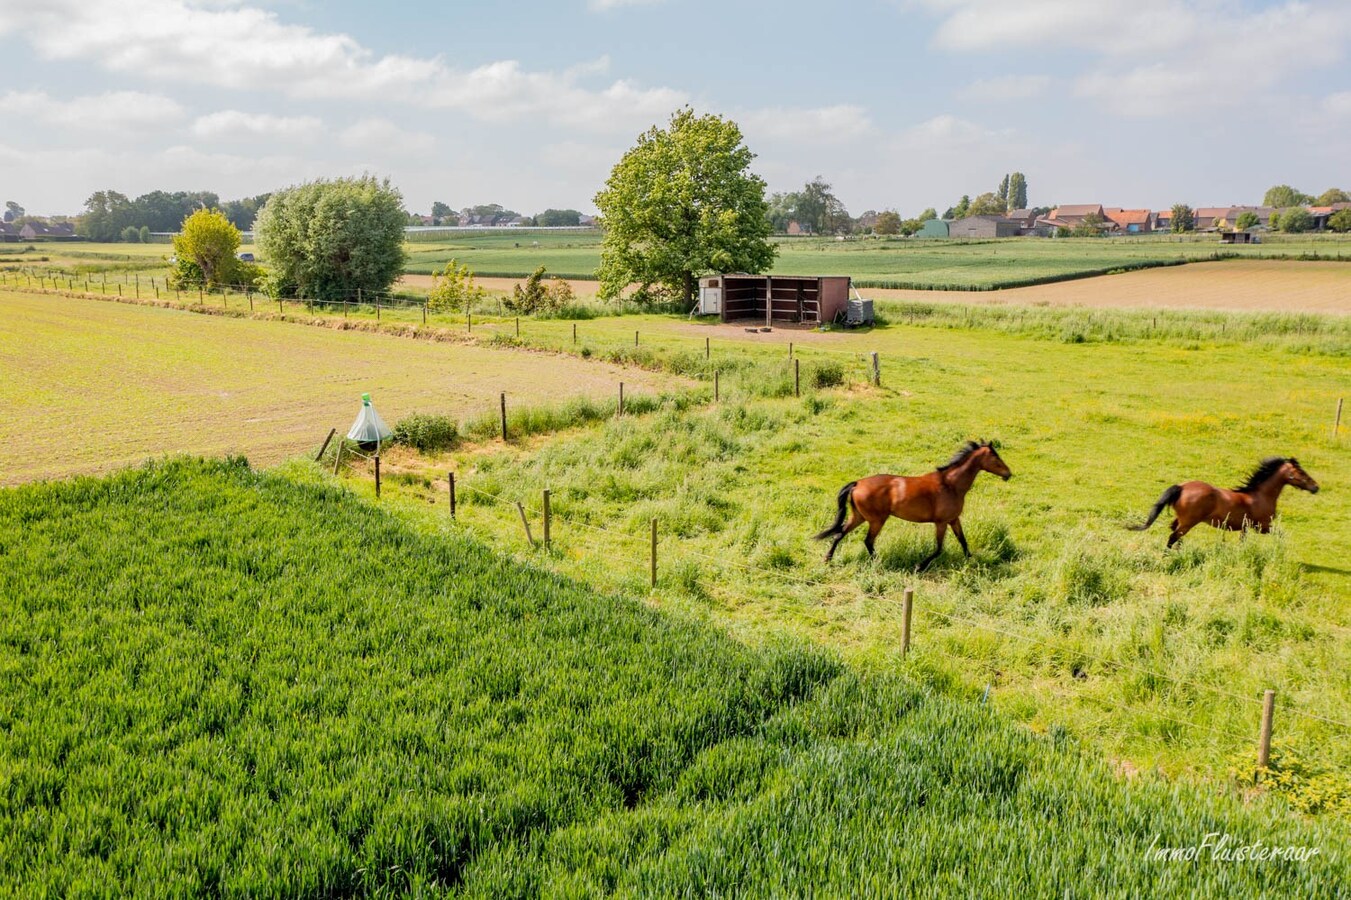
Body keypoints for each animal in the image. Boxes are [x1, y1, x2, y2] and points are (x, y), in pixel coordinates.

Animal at [810, 440, 1015, 567]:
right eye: (996, 458)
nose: (1008, 474)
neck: (951, 484)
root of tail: (858, 483)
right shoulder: (941, 523)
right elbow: (939, 548)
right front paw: (919, 566)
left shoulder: (953, 519)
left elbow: (963, 541)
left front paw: (972, 561)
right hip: (876, 520)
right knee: (868, 541)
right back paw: (878, 562)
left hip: (859, 517)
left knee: (839, 534)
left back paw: (827, 559)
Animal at [1129, 451, 1318, 543]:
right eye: (1301, 472)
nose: (1316, 487)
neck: (1261, 496)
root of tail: (1181, 487)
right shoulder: (1262, 527)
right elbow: (1280, 535)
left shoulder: (1245, 527)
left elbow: (1242, 542)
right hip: (1189, 522)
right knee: (1173, 537)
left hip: (1181, 520)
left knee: (1174, 533)